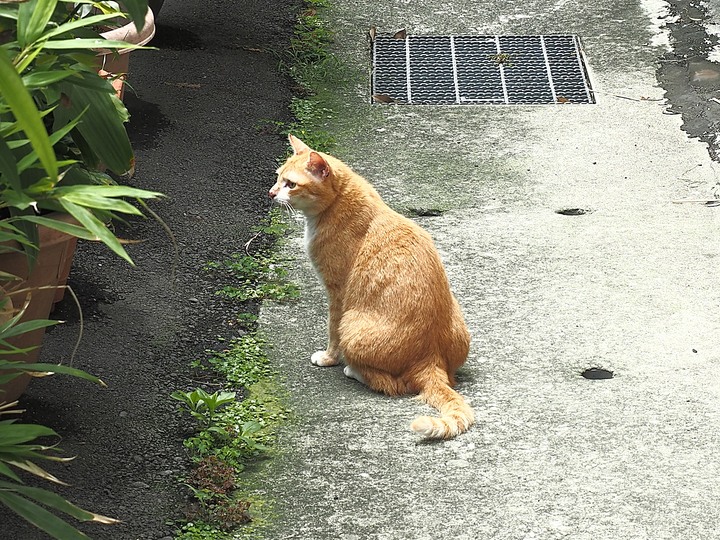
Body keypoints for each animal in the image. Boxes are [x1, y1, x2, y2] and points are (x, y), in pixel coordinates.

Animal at [270, 135, 472, 438]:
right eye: (277, 177)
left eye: (290, 184)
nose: (270, 193)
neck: (340, 201)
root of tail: (430, 357)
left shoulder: (337, 292)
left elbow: (331, 331)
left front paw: (329, 358)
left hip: (352, 326)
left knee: (392, 385)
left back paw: (352, 370)